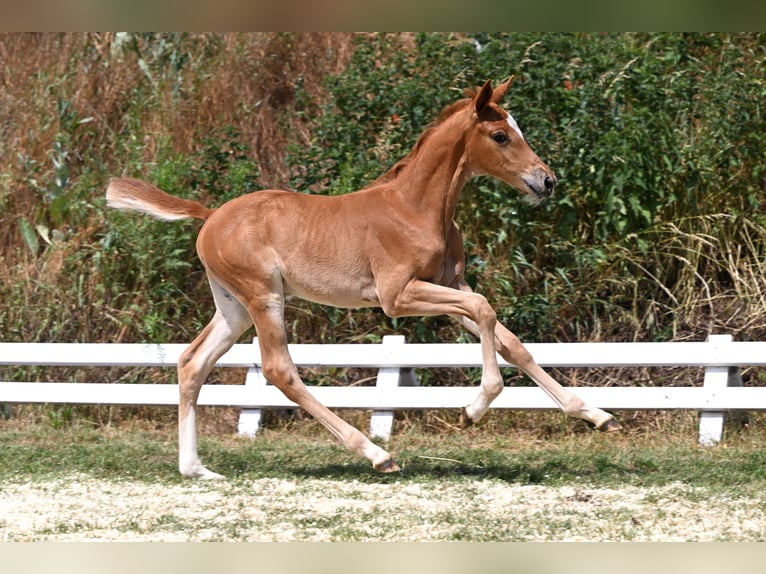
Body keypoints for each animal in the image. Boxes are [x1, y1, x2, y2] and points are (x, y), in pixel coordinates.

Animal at [106, 77, 620, 479]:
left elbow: (510, 339)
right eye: (499, 135)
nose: (546, 181)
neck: (416, 208)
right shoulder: (398, 297)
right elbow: (486, 312)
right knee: (278, 369)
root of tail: (211, 215)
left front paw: (597, 415)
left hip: (233, 308)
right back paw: (377, 454)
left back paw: (195, 468)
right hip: (264, 297)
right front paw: (473, 408)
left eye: (517, 130)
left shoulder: (451, 286)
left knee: (192, 362)